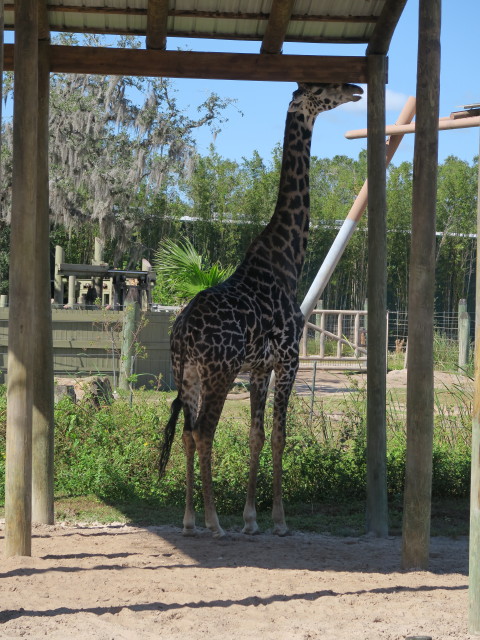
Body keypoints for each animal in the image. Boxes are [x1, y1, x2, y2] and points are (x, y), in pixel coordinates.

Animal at [159, 83, 363, 538]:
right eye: (323, 88)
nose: (356, 89)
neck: (287, 261)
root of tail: (181, 333)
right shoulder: (289, 359)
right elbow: (280, 436)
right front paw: (280, 521)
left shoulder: (258, 368)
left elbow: (256, 435)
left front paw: (252, 519)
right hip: (218, 372)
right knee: (204, 433)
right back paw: (213, 522)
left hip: (187, 374)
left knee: (187, 433)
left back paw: (188, 520)